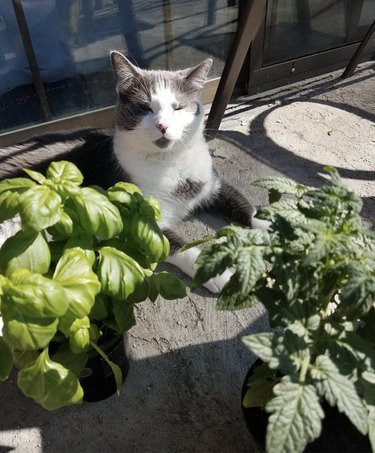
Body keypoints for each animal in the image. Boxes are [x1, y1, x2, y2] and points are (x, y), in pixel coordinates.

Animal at [0, 51, 266, 294]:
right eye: (144, 108)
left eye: (178, 108)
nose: (162, 125)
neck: (170, 163)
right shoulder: (141, 218)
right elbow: (183, 248)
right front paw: (216, 273)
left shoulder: (213, 185)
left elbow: (246, 207)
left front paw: (268, 227)